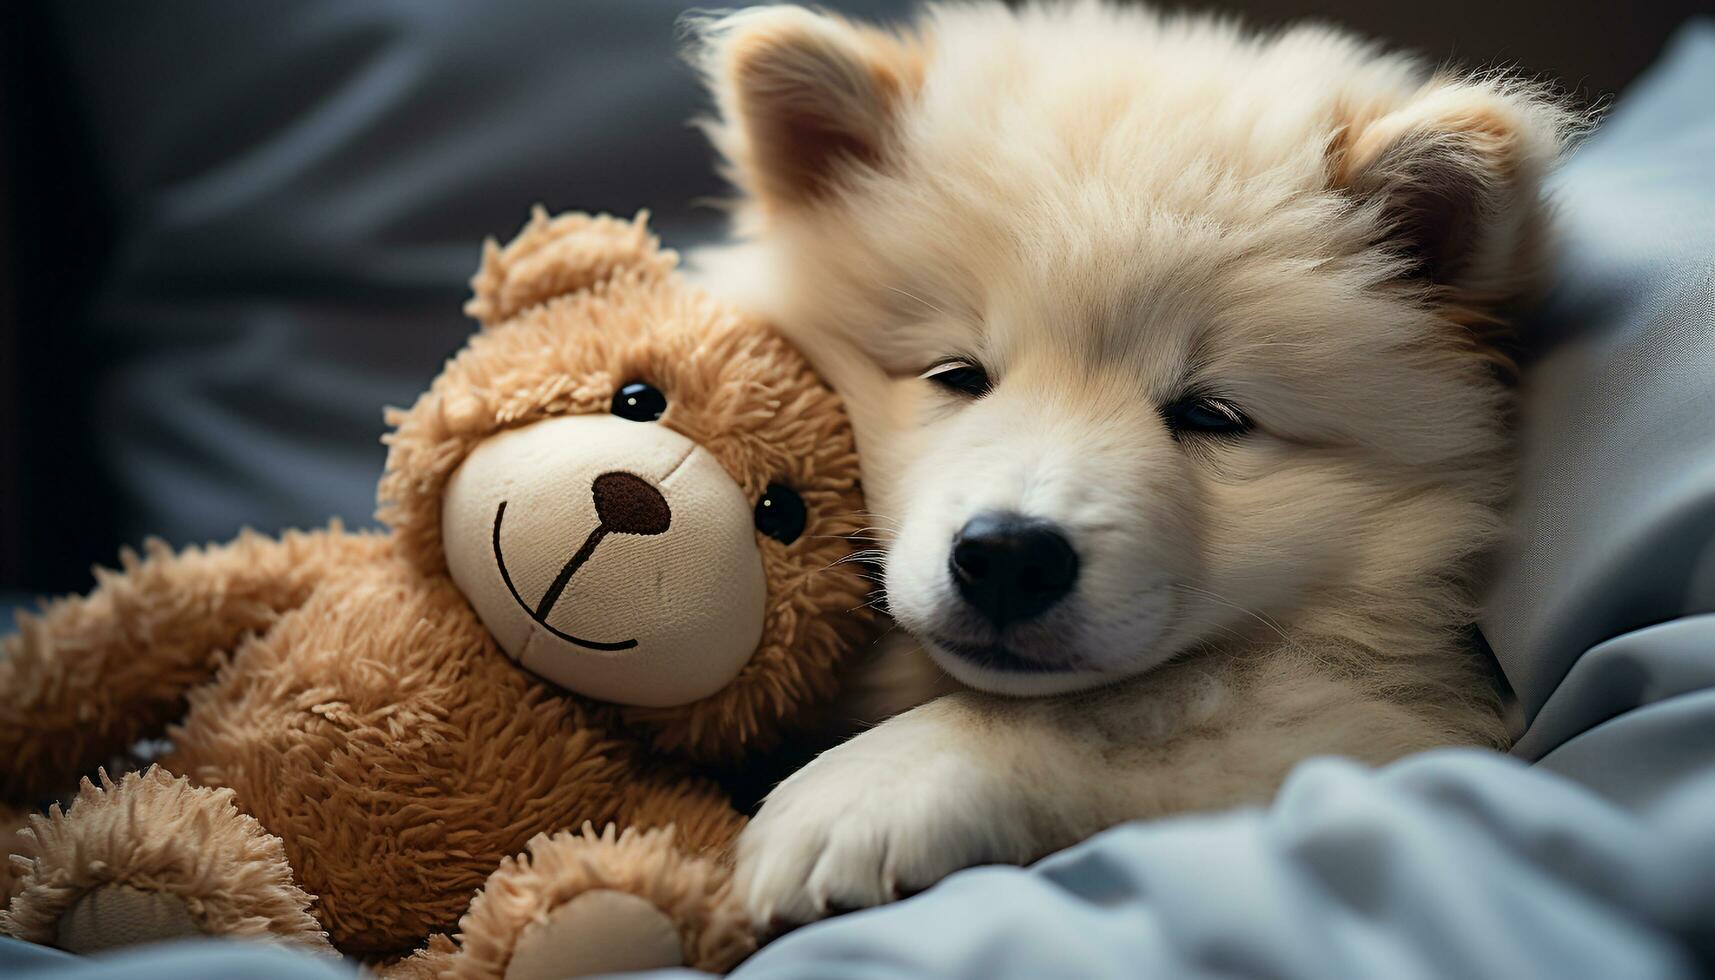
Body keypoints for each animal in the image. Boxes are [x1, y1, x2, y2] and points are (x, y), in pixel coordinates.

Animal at [689, 0, 1570, 926]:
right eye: (956, 374)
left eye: (1210, 416)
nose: (1009, 556)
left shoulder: (1390, 722)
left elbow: (1137, 705)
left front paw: (863, 791)